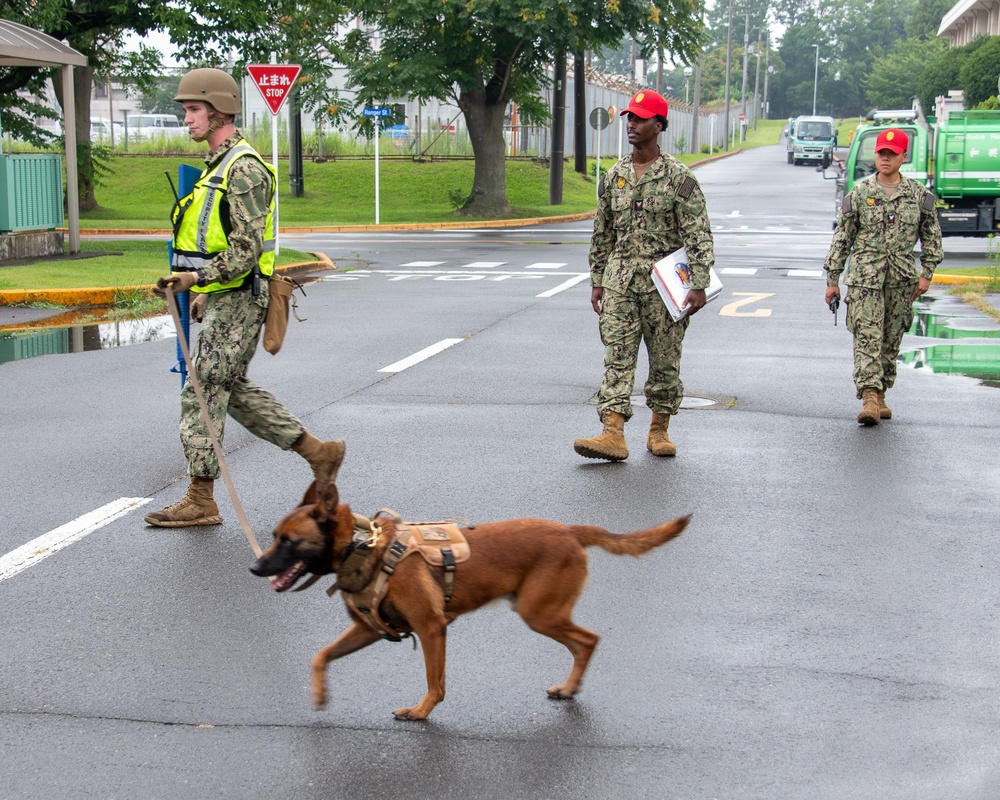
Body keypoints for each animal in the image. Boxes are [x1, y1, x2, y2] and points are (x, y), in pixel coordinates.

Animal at [250, 484, 692, 720]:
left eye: (289, 542)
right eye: (273, 536)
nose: (255, 567)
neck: (363, 547)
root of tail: (569, 530)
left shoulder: (431, 629)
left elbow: (435, 680)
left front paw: (422, 711)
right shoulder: (366, 630)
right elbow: (320, 656)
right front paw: (320, 692)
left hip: (539, 613)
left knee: (588, 639)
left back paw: (570, 687)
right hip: (540, 612)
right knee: (583, 643)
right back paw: (569, 688)